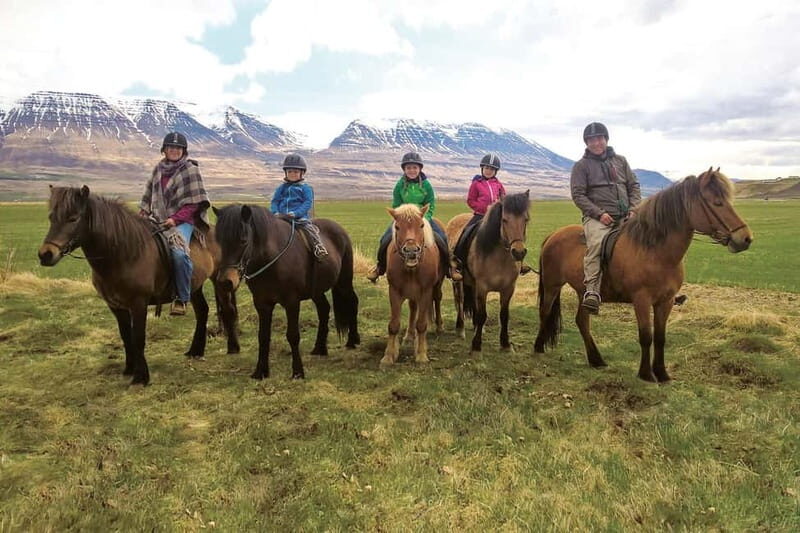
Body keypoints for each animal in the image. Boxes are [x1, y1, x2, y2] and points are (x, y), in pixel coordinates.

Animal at [37, 185, 240, 386]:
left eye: (73, 218)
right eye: (51, 217)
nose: (45, 254)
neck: (124, 253)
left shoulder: (138, 303)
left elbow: (138, 337)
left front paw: (141, 376)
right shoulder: (116, 306)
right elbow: (126, 336)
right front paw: (129, 368)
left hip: (220, 281)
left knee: (228, 310)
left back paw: (233, 348)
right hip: (194, 286)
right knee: (202, 311)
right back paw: (195, 350)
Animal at [213, 204, 360, 380]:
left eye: (243, 240)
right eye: (219, 241)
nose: (225, 282)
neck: (271, 259)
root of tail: (339, 229)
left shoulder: (292, 302)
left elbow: (293, 335)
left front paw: (298, 372)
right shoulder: (262, 303)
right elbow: (263, 336)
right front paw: (260, 371)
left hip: (344, 282)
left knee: (352, 302)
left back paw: (353, 340)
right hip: (316, 291)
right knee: (324, 309)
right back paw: (319, 348)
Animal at [381, 204, 445, 366]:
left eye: (421, 225)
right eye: (397, 227)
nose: (411, 251)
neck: (411, 268)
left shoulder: (426, 291)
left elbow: (421, 324)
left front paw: (421, 355)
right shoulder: (394, 291)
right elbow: (393, 325)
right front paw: (389, 355)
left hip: (437, 285)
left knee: (437, 299)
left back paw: (439, 326)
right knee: (412, 307)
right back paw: (409, 335)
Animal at [446, 191, 531, 353]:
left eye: (526, 219)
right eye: (504, 220)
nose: (518, 252)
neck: (499, 257)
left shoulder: (508, 289)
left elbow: (504, 315)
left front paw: (505, 344)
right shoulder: (482, 287)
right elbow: (482, 314)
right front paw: (476, 345)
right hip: (458, 281)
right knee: (459, 301)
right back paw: (460, 329)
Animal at [534, 168, 753, 382]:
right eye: (717, 202)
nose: (745, 238)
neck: (655, 252)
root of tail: (553, 235)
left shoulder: (665, 301)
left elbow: (661, 337)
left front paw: (662, 373)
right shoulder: (642, 300)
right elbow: (646, 336)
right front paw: (646, 373)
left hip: (583, 292)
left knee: (582, 321)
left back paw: (596, 359)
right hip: (552, 285)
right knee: (545, 312)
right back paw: (538, 347)